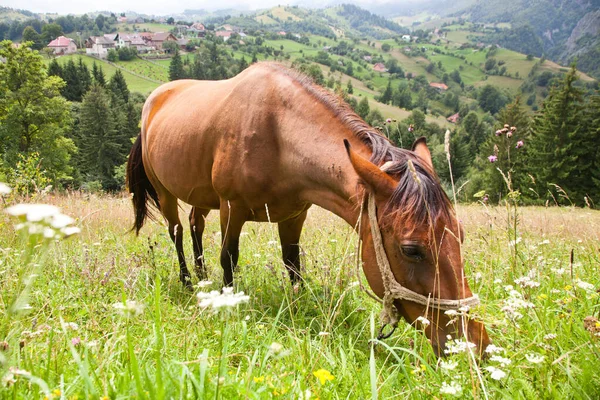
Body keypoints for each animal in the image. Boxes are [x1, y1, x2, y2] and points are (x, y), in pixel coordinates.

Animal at [124, 61, 490, 356]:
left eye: (460, 235)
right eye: (412, 249)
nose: (475, 344)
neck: (277, 132)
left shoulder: (294, 215)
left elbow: (293, 264)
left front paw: (298, 307)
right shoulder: (232, 207)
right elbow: (229, 257)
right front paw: (229, 304)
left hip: (200, 196)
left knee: (194, 224)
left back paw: (201, 279)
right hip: (165, 191)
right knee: (177, 231)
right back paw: (188, 282)